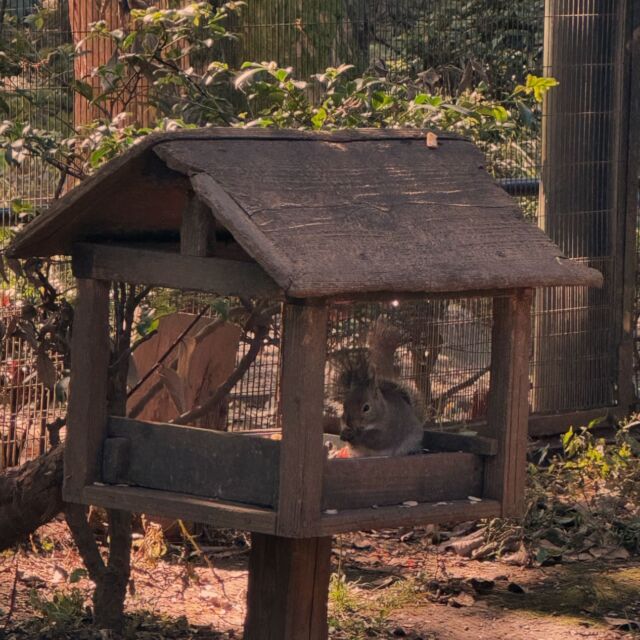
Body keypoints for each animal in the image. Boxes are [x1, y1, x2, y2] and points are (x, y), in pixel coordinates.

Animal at [330, 322, 424, 458]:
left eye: (366, 408)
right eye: (344, 405)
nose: (349, 423)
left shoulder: (388, 428)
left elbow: (376, 440)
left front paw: (357, 436)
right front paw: (344, 433)